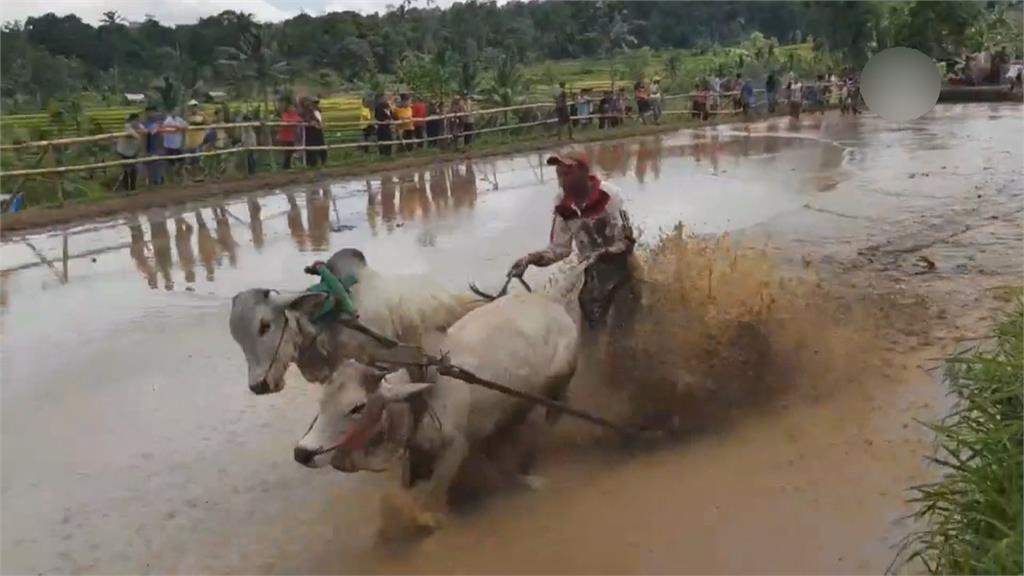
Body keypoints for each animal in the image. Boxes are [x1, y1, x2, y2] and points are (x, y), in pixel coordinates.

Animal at [299, 289, 585, 532]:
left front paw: (430, 519)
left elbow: (433, 493)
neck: (421, 397)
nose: (302, 452)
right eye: (322, 401)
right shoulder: (414, 451)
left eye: (357, 407)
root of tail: (555, 307)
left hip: (556, 383)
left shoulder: (455, 448)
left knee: (550, 409)